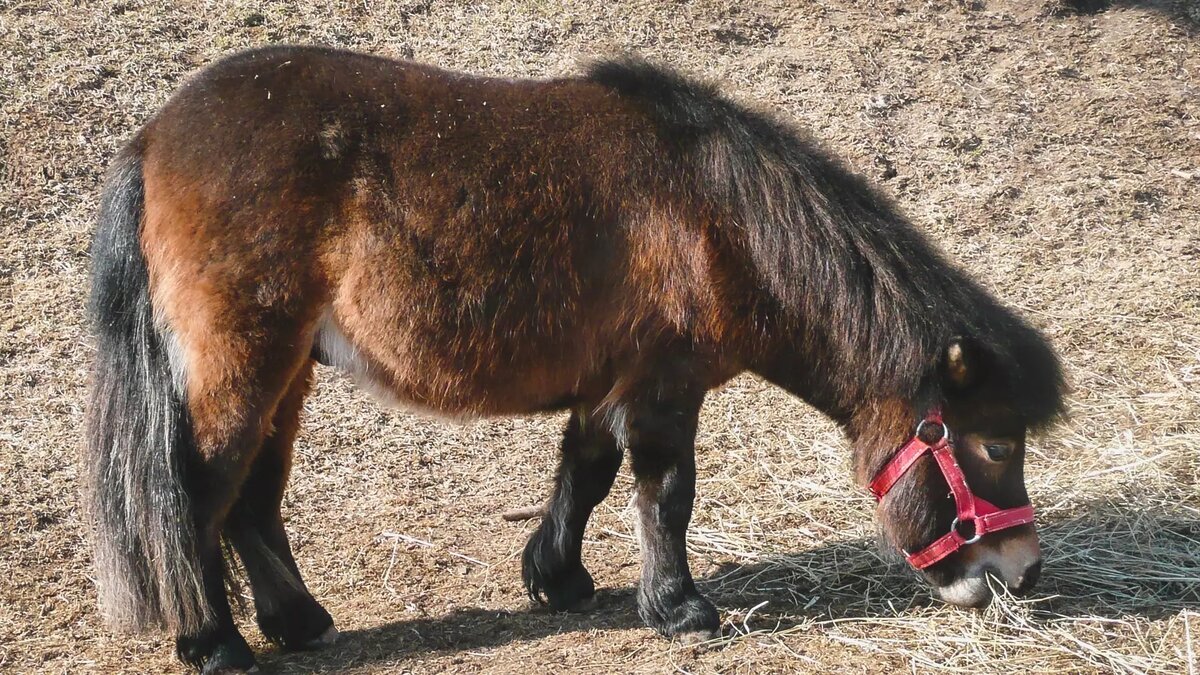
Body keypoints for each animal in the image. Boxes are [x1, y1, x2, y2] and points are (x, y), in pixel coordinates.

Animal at [82, 44, 1060, 667]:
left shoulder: (610, 380)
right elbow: (666, 492)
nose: (1022, 573)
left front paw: (556, 578)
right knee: (200, 493)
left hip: (283, 371)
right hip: (241, 366)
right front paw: (680, 607)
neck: (724, 219)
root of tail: (153, 138)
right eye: (995, 444)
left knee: (252, 500)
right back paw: (216, 643)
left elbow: (583, 473)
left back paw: (297, 621)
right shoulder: (665, 387)